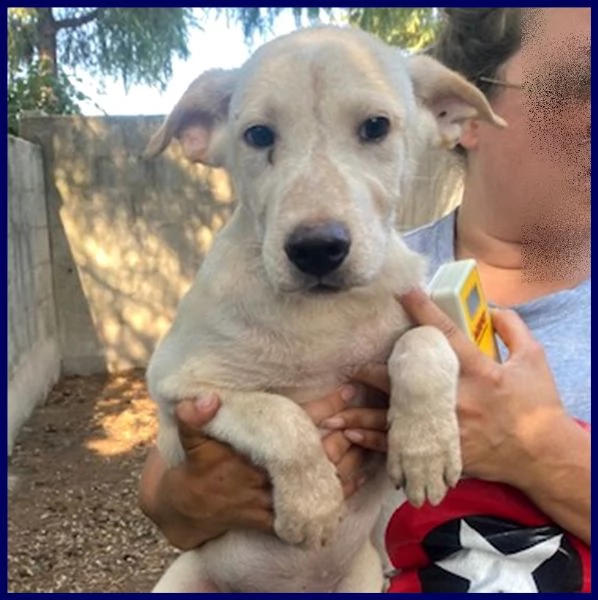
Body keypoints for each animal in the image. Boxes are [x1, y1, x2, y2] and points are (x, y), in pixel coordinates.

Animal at [144, 24, 506, 596]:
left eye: (376, 127)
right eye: (258, 136)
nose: (316, 249)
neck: (324, 316)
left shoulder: (418, 313)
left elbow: (424, 343)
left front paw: (425, 449)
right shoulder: (180, 385)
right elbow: (278, 413)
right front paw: (312, 503)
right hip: (183, 577)